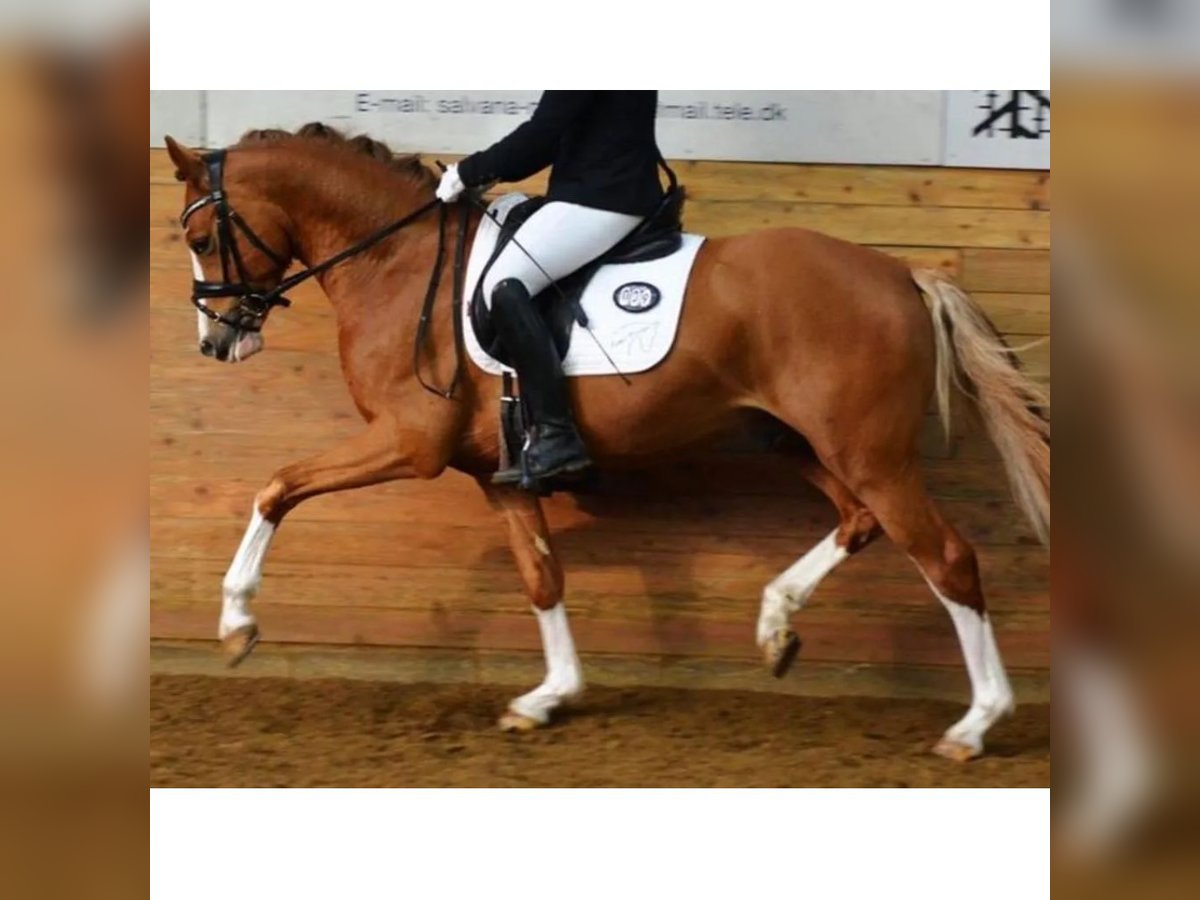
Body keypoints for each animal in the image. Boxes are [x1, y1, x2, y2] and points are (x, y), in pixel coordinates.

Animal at [163, 124, 1050, 761]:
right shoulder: (497, 474)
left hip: (868, 452)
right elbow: (541, 576)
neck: (395, 258)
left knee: (948, 559)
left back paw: (975, 725)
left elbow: (276, 486)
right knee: (858, 522)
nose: (215, 341)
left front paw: (236, 623)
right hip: (798, 441)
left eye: (203, 239)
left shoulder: (408, 442)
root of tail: (903, 275)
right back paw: (775, 628)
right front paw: (548, 696)